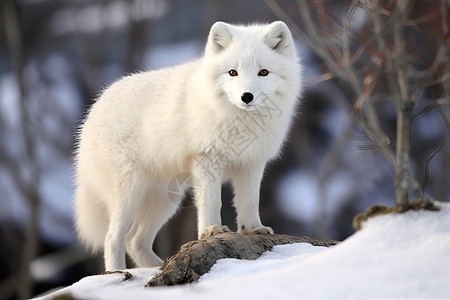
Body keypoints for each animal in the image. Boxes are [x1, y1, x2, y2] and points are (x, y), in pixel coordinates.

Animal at [74, 20, 302, 270]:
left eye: (263, 72)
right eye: (233, 72)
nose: (246, 96)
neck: (240, 121)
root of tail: (92, 111)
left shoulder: (252, 163)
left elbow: (250, 201)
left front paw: (252, 230)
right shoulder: (207, 160)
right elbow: (212, 202)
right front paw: (212, 231)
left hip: (165, 200)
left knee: (135, 241)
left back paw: (159, 267)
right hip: (130, 193)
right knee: (113, 238)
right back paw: (118, 273)